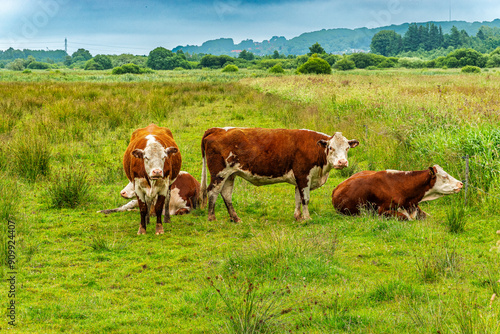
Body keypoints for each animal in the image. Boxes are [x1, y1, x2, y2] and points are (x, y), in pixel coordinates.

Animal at [199, 127, 360, 222]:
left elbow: (297, 198)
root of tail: (218, 129)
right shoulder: (303, 175)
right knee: (212, 191)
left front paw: (298, 217)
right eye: (331, 148)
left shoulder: (299, 179)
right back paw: (212, 217)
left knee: (226, 194)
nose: (342, 162)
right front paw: (307, 218)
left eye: (347, 148)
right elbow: (305, 199)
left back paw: (235, 218)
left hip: (230, 174)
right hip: (219, 173)